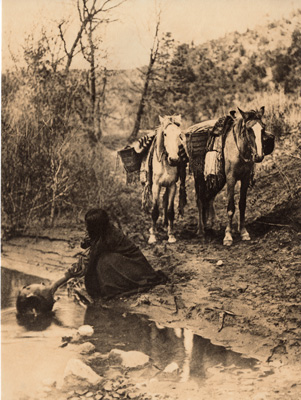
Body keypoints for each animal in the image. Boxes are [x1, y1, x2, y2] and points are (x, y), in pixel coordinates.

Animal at [192, 104, 272, 245]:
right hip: (200, 178)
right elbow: (230, 208)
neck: (239, 150)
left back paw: (213, 225)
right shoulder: (231, 179)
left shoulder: (245, 179)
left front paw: (244, 232)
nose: (259, 156)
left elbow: (242, 205)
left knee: (209, 197)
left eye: (263, 128)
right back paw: (201, 231)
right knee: (200, 199)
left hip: (217, 180)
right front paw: (228, 236)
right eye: (249, 130)